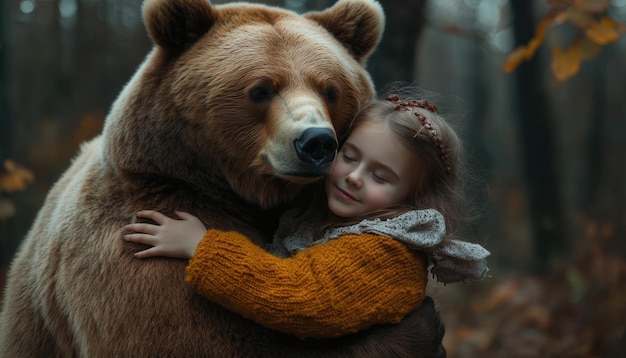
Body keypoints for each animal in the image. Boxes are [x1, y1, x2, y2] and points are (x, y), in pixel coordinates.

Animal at [0, 0, 442, 356]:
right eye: (261, 89)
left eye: (331, 89)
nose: (315, 142)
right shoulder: (139, 250)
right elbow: (203, 339)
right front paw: (419, 325)